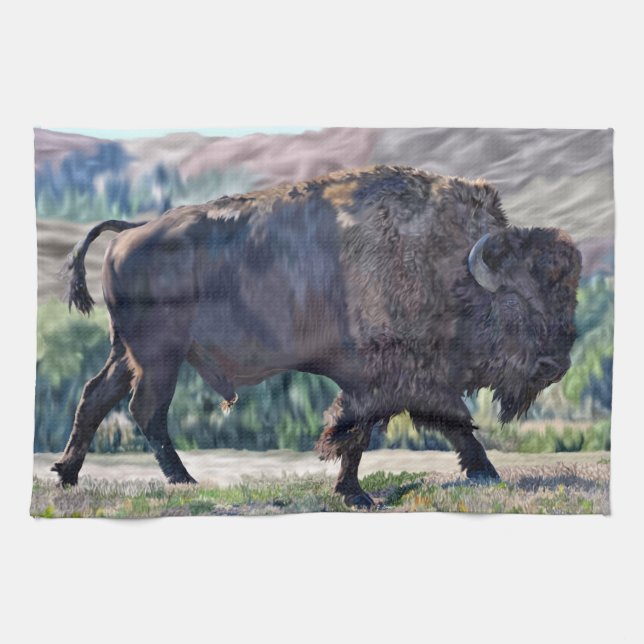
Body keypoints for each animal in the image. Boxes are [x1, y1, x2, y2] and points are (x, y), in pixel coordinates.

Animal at [52, 165, 581, 507]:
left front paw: (486, 474)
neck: (443, 264)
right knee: (146, 409)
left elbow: (450, 424)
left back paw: (66, 475)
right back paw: (182, 481)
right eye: (516, 298)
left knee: (96, 396)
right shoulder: (381, 377)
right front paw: (357, 494)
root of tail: (131, 231)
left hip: (129, 352)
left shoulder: (412, 379)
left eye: (568, 296)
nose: (555, 366)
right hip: (160, 356)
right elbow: (358, 430)